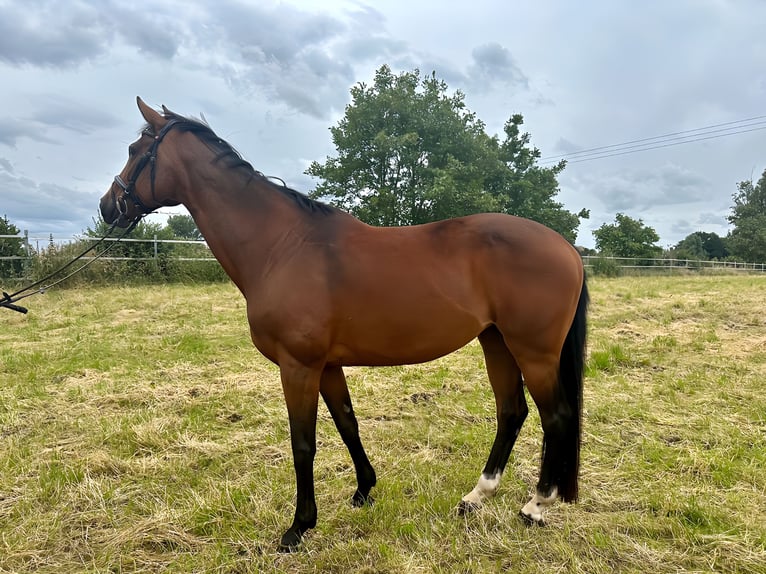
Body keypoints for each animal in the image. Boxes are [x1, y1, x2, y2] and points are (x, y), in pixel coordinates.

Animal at [97, 99, 588, 552]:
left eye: (135, 150)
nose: (107, 207)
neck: (282, 246)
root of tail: (566, 248)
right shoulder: (328, 366)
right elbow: (348, 424)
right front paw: (363, 491)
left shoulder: (298, 366)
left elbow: (303, 444)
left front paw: (298, 527)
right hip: (496, 342)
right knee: (512, 412)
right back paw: (475, 497)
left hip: (534, 351)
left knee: (555, 416)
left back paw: (535, 506)